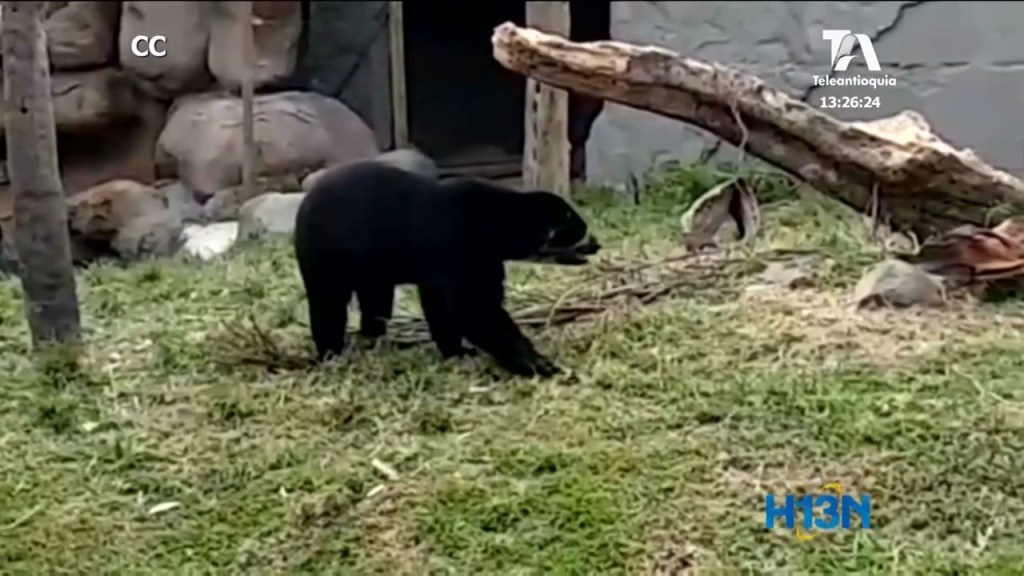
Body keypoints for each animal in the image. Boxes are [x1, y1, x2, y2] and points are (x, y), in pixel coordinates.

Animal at [293, 159, 601, 378]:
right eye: (579, 230)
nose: (597, 244)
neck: (499, 222)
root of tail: (304, 205)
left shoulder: (450, 266)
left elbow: (441, 308)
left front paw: (457, 351)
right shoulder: (462, 248)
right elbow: (476, 309)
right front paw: (540, 364)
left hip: (371, 267)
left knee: (376, 300)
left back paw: (374, 337)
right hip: (327, 258)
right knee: (328, 305)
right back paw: (331, 354)